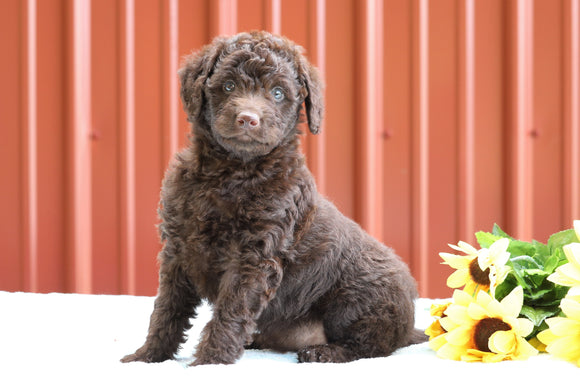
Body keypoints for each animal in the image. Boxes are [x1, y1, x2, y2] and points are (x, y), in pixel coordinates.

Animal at [120, 30, 426, 366]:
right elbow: (166, 309)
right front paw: (147, 356)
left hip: (360, 300)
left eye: (278, 93)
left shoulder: (254, 257)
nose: (248, 119)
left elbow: (231, 310)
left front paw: (210, 362)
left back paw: (323, 351)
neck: (232, 172)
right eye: (228, 86)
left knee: (372, 345)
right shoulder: (178, 249)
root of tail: (409, 325)